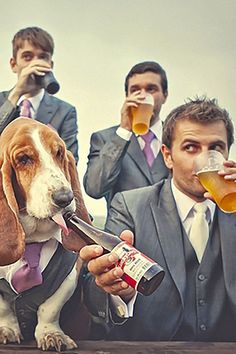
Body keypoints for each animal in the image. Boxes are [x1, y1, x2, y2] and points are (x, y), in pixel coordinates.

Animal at [0, 117, 91, 350]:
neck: (32, 241)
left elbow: (49, 308)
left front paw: (52, 335)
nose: (65, 198)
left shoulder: (70, 273)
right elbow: (4, 307)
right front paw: (7, 330)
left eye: (59, 152)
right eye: (24, 159)